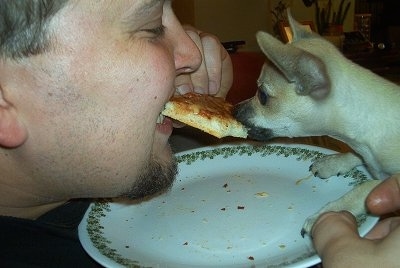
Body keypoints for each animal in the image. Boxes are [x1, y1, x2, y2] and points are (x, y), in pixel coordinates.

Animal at [233, 14, 400, 237]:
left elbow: (366, 188)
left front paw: (330, 211)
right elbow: (356, 155)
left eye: (263, 96)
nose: (233, 110)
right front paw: (333, 162)